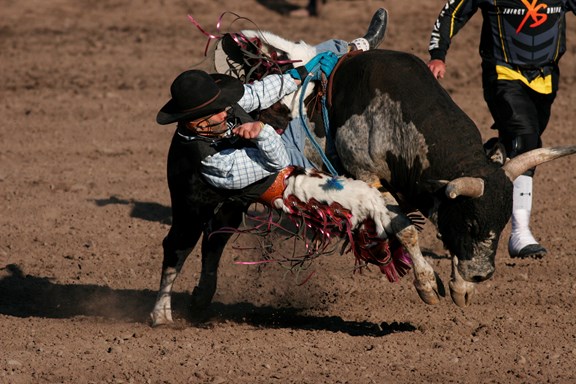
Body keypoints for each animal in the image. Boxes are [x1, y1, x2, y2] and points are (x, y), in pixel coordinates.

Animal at [150, 25, 576, 326]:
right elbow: (405, 230)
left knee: (215, 239)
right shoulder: (368, 178)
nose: (483, 274)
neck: (395, 116)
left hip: (233, 203)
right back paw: (161, 314)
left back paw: (202, 297)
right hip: (190, 200)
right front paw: (428, 285)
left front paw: (460, 286)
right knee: (178, 245)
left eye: (502, 222)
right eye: (471, 221)